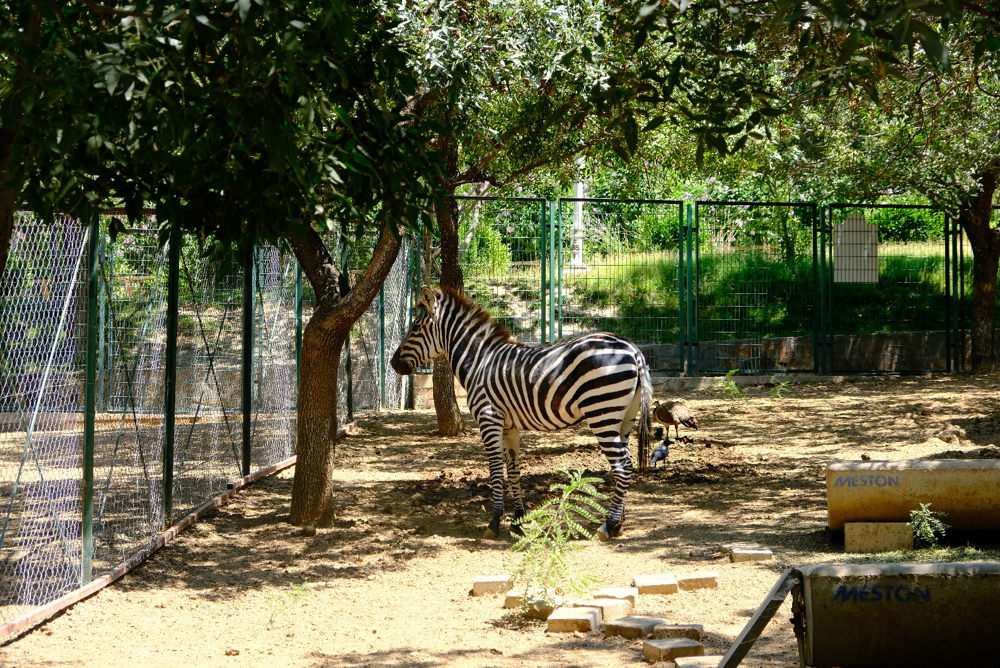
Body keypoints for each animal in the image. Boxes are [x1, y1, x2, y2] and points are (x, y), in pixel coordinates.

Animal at [390, 284, 656, 540]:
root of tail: (633, 349)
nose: (393, 364)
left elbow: (495, 471)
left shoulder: (489, 419)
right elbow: (513, 470)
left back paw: (608, 525)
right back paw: (619, 523)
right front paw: (518, 519)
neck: (478, 362)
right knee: (627, 463)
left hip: (602, 412)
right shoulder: (509, 426)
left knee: (621, 466)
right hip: (624, 417)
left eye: (415, 328)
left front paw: (495, 521)